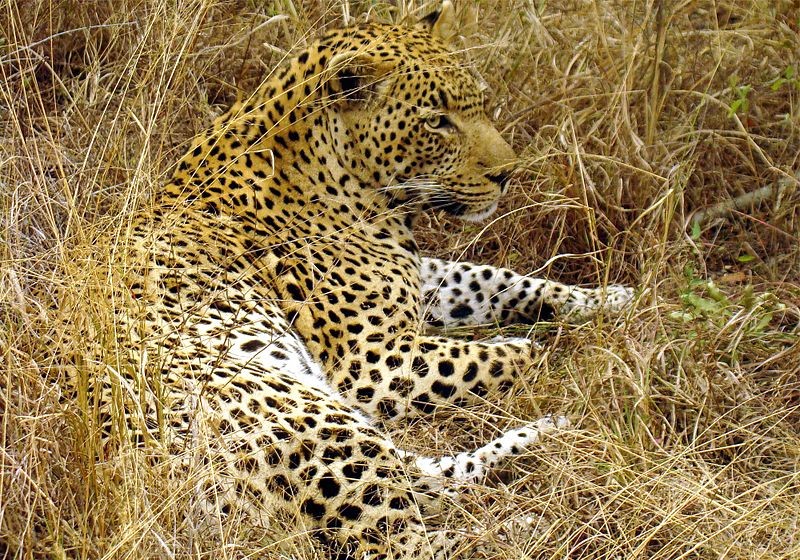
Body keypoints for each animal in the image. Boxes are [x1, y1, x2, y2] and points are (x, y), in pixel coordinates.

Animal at [84, 2, 633, 558]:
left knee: (429, 478)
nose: (507, 174)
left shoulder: (418, 276)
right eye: (437, 121)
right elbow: (511, 354)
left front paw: (605, 299)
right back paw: (527, 527)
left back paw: (540, 439)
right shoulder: (373, 362)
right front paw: (564, 347)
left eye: (480, 105)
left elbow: (492, 279)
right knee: (408, 539)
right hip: (319, 423)